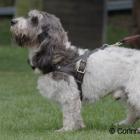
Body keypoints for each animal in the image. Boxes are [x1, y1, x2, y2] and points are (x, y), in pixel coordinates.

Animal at [10, 9, 140, 131]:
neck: (60, 57)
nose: (12, 21)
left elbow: (68, 114)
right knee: (133, 111)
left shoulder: (69, 95)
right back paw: (124, 124)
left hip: (134, 92)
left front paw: (66, 129)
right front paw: (78, 127)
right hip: (126, 92)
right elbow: (75, 114)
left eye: (34, 20)